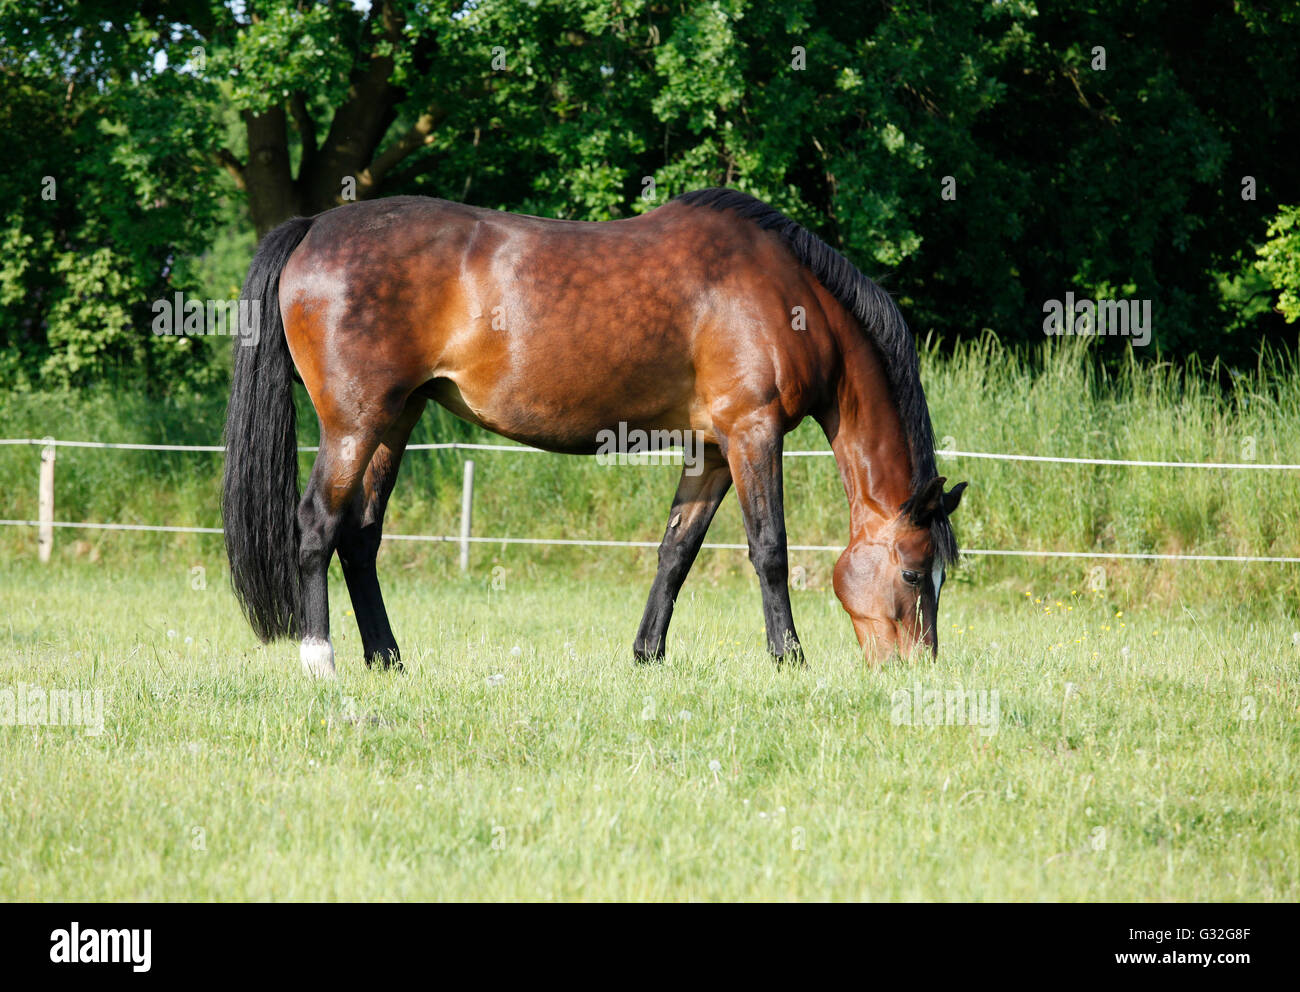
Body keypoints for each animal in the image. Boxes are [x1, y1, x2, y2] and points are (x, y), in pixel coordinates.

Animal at [220, 189, 967, 681]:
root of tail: (314, 227)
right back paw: (322, 661)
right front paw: (789, 657)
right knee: (317, 525)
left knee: (361, 536)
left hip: (393, 420)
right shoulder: (752, 432)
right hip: (355, 423)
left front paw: (647, 655)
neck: (790, 295)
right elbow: (770, 549)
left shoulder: (713, 449)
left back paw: (387, 659)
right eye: (911, 572)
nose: (917, 668)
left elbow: (676, 551)